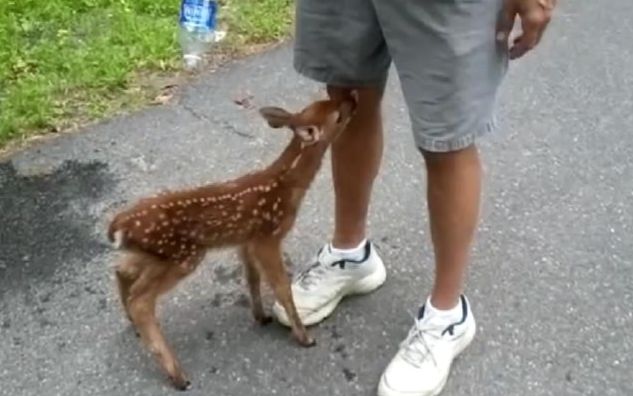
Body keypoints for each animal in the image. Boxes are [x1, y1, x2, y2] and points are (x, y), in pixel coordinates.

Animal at [106, 92, 358, 390]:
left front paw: (261, 317)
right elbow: (281, 287)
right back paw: (178, 375)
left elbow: (252, 279)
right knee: (141, 299)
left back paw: (134, 326)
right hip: (183, 255)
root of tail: (119, 225)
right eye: (337, 115)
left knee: (122, 271)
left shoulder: (246, 240)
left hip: (154, 254)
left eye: (326, 100)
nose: (353, 98)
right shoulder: (267, 236)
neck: (286, 186)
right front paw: (304, 337)